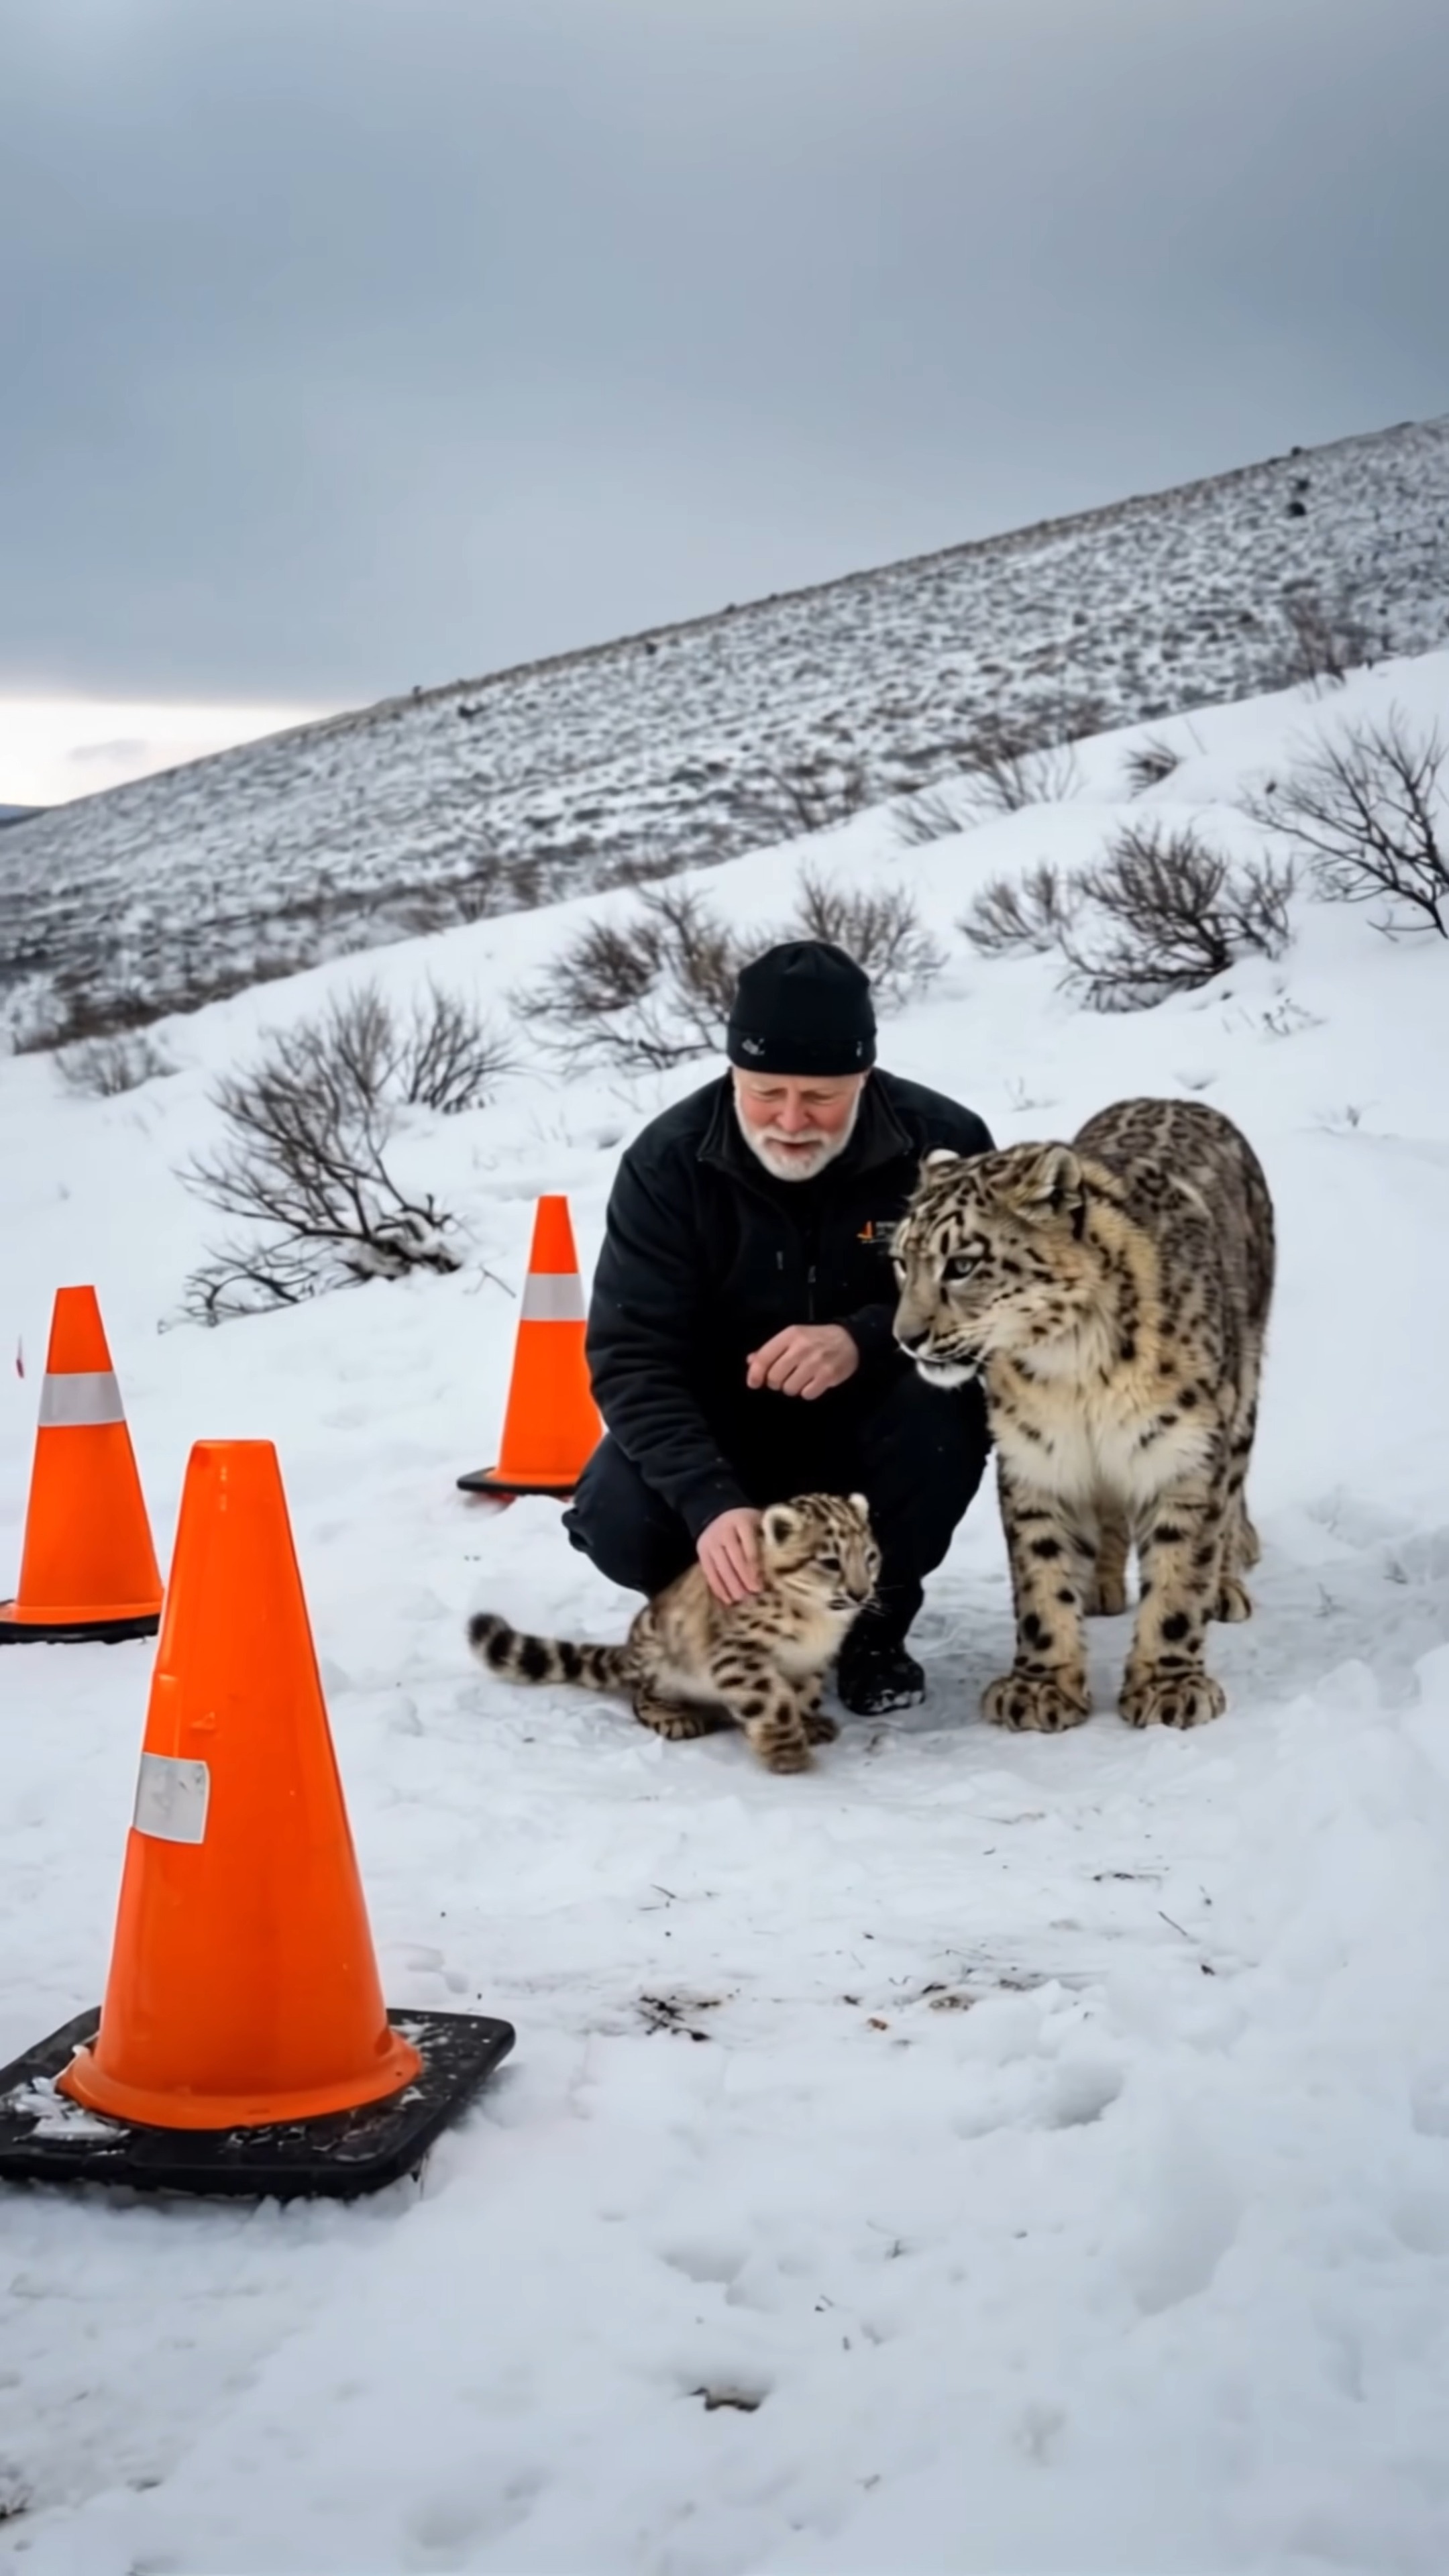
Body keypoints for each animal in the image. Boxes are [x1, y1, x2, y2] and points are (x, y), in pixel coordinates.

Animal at [468, 1492, 880, 1774]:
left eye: (871, 1556)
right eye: (830, 1561)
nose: (860, 1593)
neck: (817, 1623)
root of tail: (629, 1651)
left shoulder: (811, 1661)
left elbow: (804, 1696)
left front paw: (810, 1725)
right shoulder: (740, 1653)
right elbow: (771, 1702)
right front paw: (787, 1754)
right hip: (661, 1668)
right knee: (641, 1697)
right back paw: (676, 1717)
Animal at [891, 1098, 1274, 1733]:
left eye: (963, 1264)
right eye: (901, 1262)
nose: (907, 1336)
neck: (1076, 1371)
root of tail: (1177, 1100)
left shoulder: (1184, 1454)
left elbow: (1180, 1570)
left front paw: (1169, 1686)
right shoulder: (1035, 1454)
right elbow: (1041, 1573)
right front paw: (1041, 1686)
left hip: (1240, 1394)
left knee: (1232, 1491)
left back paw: (1224, 1588)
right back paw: (1100, 1588)